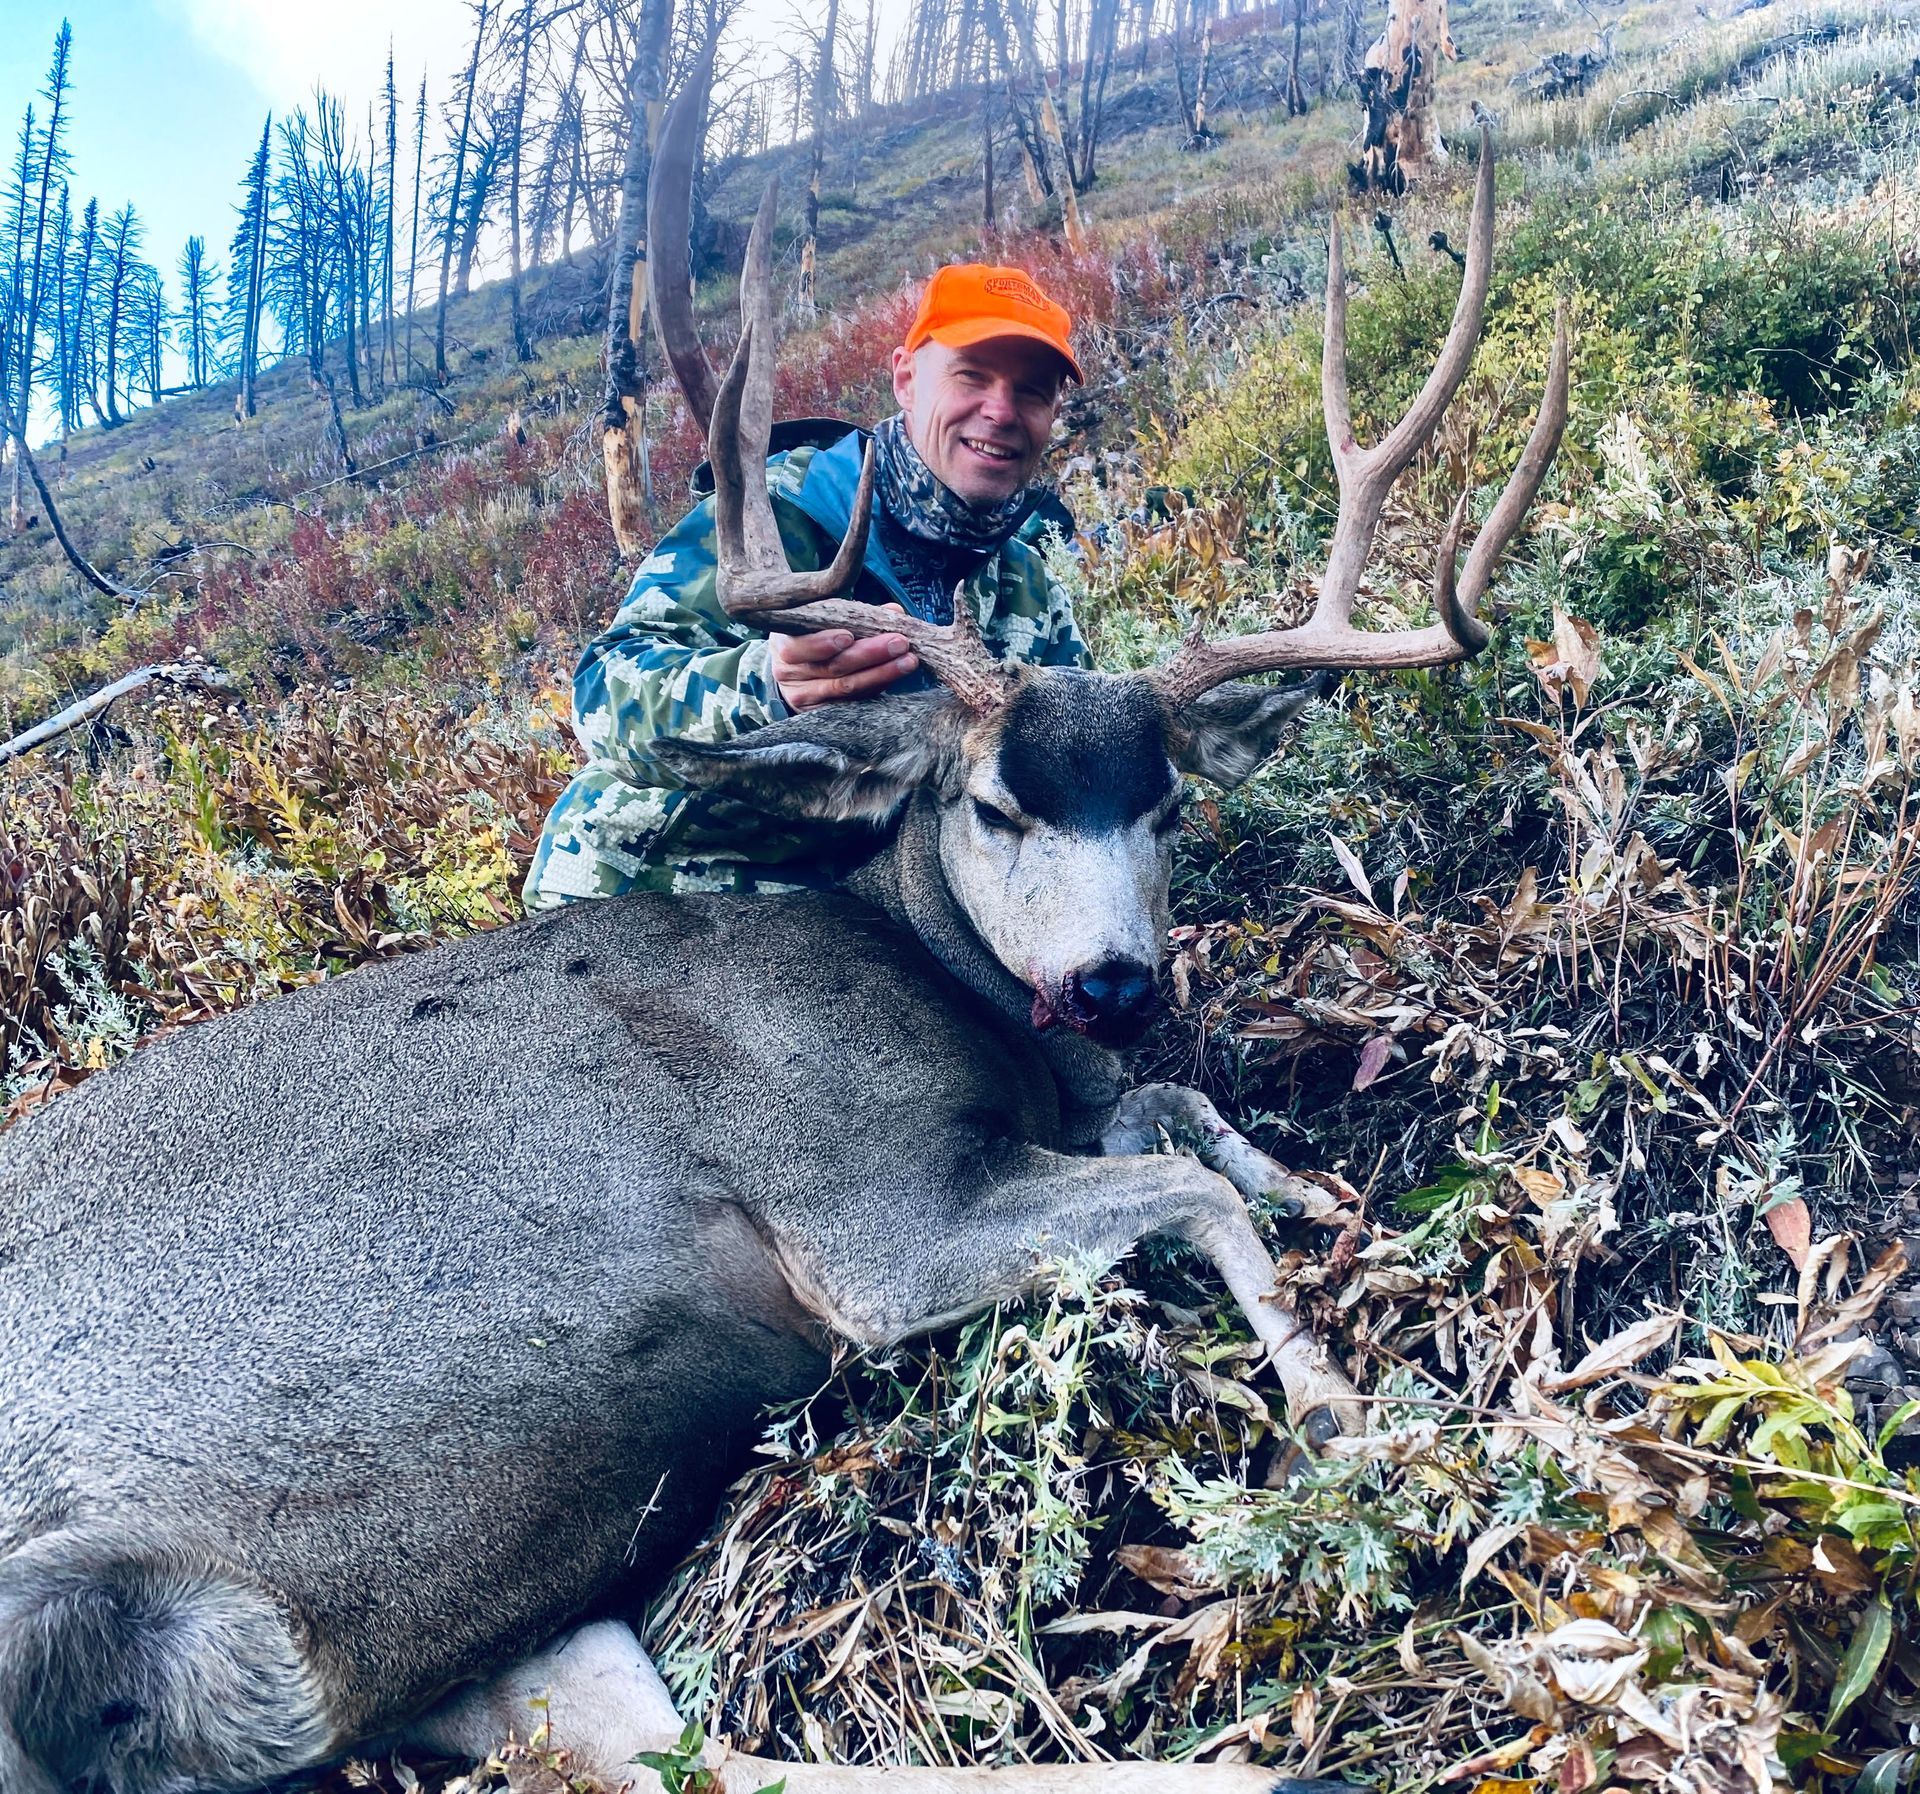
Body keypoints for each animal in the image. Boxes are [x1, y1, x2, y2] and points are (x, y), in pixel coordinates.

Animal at [0, 67, 1567, 1794]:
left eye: (1165, 807)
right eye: (990, 804)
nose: (1113, 976)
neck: (929, 980)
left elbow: (1182, 1118)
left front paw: (1323, 1191)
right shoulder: (859, 1220)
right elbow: (1177, 1181)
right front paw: (1354, 1411)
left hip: (442, 1628)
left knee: (667, 1751)